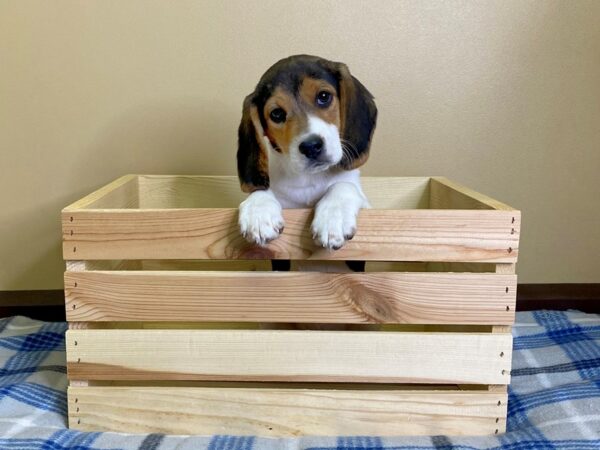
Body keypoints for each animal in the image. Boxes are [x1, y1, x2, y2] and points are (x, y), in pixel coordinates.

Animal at [237, 54, 378, 251]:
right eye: (277, 114)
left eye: (324, 97)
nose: (311, 146)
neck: (310, 178)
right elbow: (260, 189)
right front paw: (258, 210)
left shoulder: (366, 203)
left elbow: (343, 185)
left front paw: (333, 216)